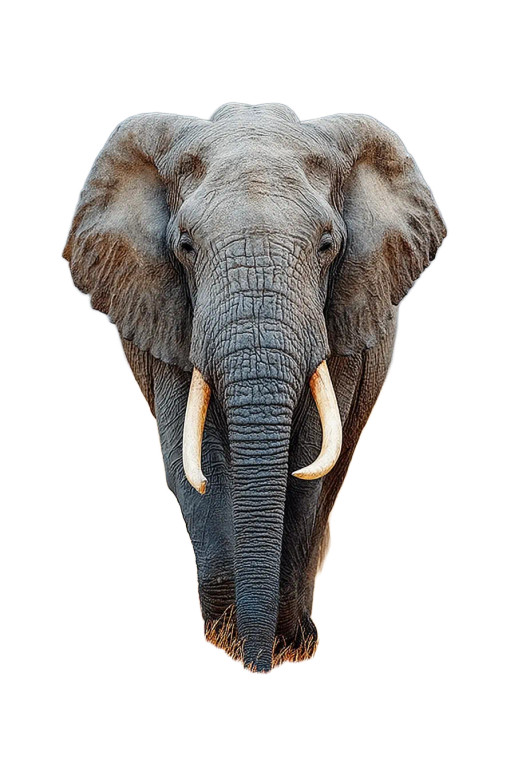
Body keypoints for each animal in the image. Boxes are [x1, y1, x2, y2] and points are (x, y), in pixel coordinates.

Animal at [63, 102, 446, 672]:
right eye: (185, 245)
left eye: (328, 245)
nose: (259, 665)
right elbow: (194, 464)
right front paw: (227, 642)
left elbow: (310, 462)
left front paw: (285, 648)